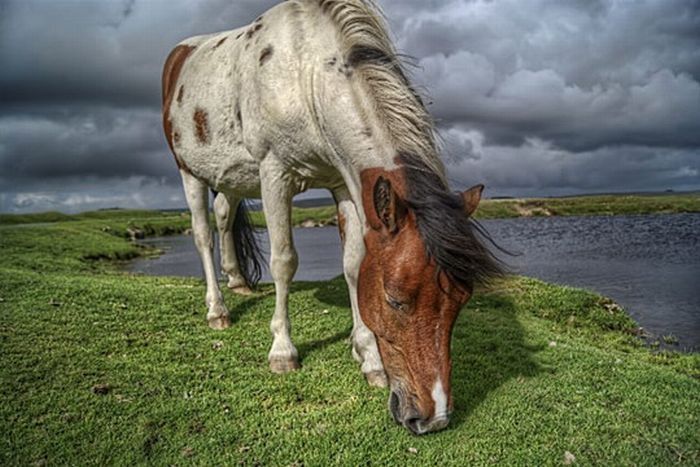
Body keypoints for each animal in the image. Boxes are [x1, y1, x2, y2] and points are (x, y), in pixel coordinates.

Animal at [163, 0, 504, 436]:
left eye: (461, 300)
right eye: (395, 300)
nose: (434, 418)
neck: (305, 72)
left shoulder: (344, 184)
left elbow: (354, 266)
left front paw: (369, 358)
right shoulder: (275, 174)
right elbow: (284, 261)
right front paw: (283, 351)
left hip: (233, 177)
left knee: (224, 215)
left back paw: (238, 282)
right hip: (189, 172)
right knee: (203, 234)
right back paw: (218, 311)